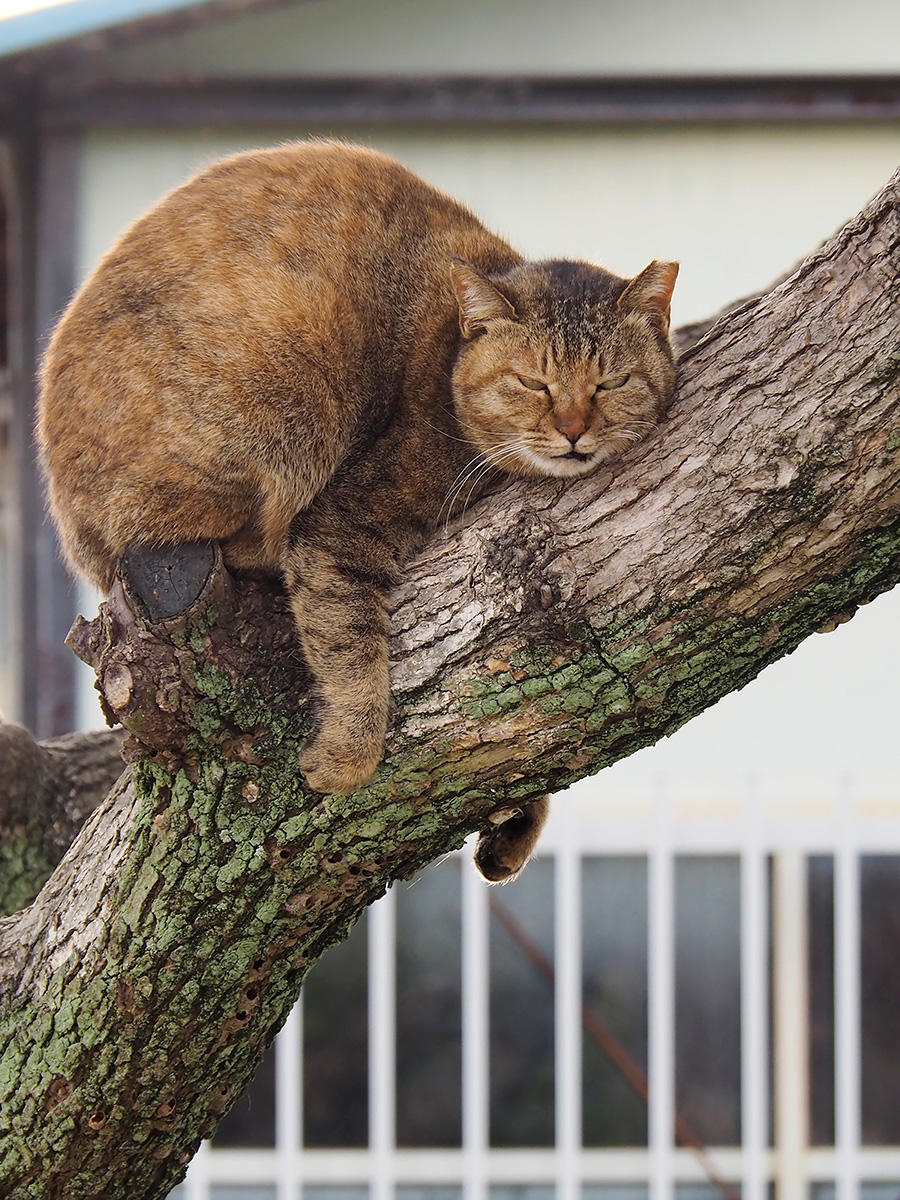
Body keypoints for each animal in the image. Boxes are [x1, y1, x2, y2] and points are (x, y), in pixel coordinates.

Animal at [38, 142, 681, 883]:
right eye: (532, 383)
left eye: (612, 382)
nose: (574, 429)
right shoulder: (338, 523)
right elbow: (349, 652)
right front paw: (347, 758)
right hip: (284, 397)